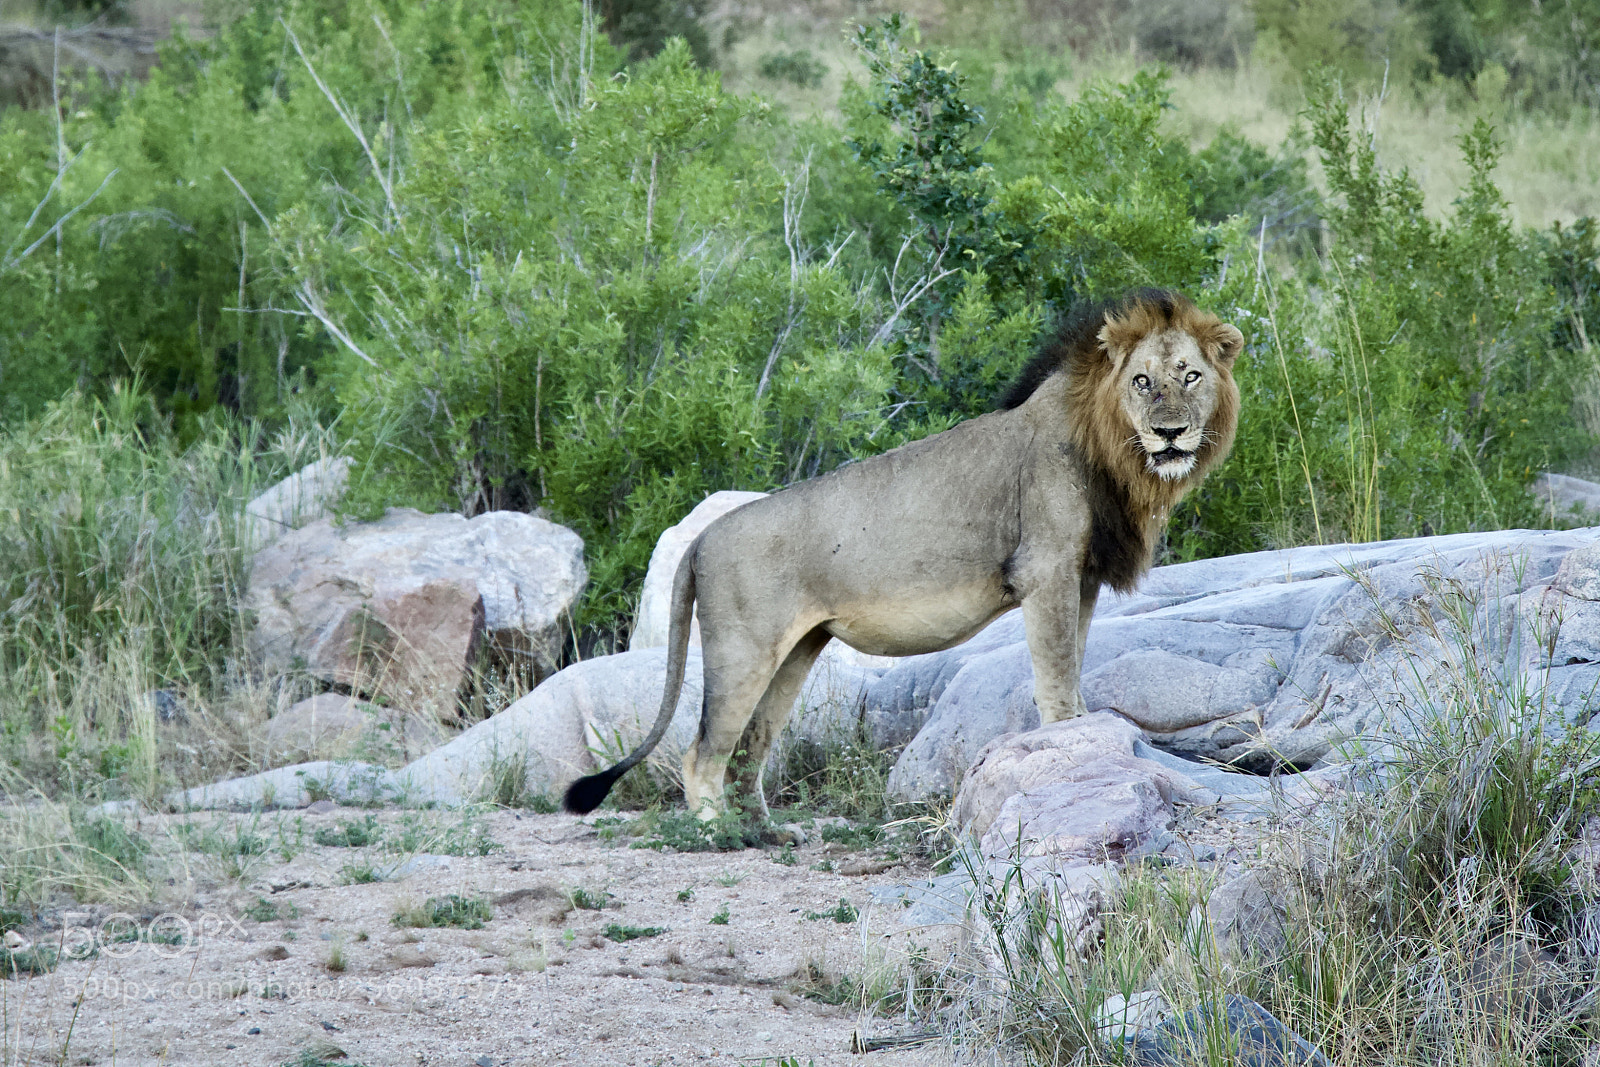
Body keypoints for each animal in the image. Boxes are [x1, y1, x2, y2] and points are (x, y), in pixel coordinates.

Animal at [564, 288, 1244, 818]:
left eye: (1190, 375)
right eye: (1142, 381)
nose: (1170, 433)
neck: (1114, 454)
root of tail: (701, 539)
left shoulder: (1081, 580)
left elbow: (1073, 674)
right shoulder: (1046, 571)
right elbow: (1055, 682)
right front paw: (1066, 754)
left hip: (794, 652)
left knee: (751, 746)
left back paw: (769, 833)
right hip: (743, 651)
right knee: (702, 752)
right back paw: (720, 837)